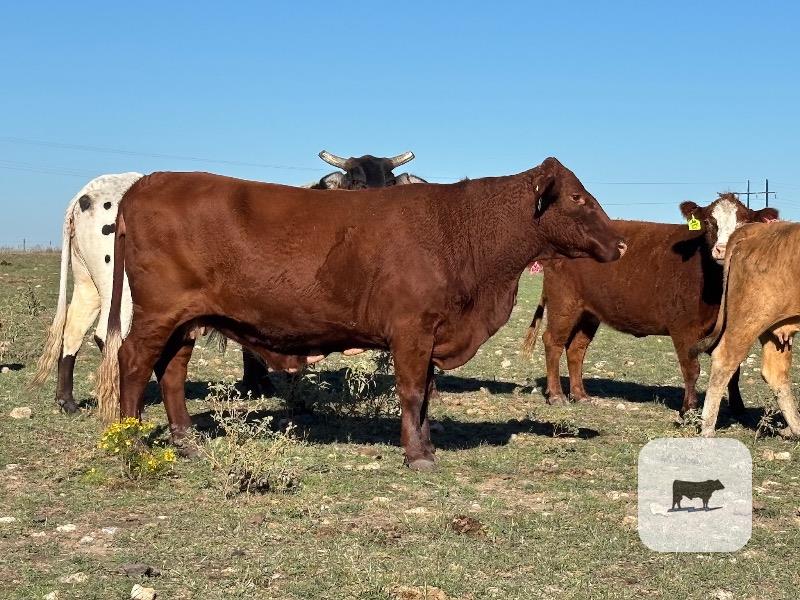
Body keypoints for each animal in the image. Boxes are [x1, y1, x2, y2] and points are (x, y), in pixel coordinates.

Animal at [32, 152, 427, 410]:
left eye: (389, 183)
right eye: (357, 182)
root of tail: (89, 193)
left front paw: (258, 383)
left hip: (88, 283)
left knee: (73, 329)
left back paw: (66, 400)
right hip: (125, 291)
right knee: (108, 337)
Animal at [95, 157, 626, 469]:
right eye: (577, 197)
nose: (620, 243)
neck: (460, 231)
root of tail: (148, 180)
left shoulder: (430, 335)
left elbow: (426, 394)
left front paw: (426, 445)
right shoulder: (411, 330)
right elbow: (411, 393)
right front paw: (417, 455)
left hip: (184, 321)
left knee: (171, 371)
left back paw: (186, 442)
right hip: (157, 314)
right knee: (134, 363)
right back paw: (133, 442)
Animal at [522, 193, 778, 414]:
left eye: (744, 223)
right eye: (708, 221)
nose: (722, 250)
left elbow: (732, 370)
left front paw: (738, 409)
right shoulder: (683, 327)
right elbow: (691, 369)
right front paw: (689, 409)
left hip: (588, 313)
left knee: (576, 348)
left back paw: (580, 395)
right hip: (564, 303)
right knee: (553, 342)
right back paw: (557, 396)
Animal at [694, 221, 800, 438]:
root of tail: (758, 228)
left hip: (774, 328)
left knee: (775, 372)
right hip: (750, 318)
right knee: (724, 359)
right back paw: (707, 429)